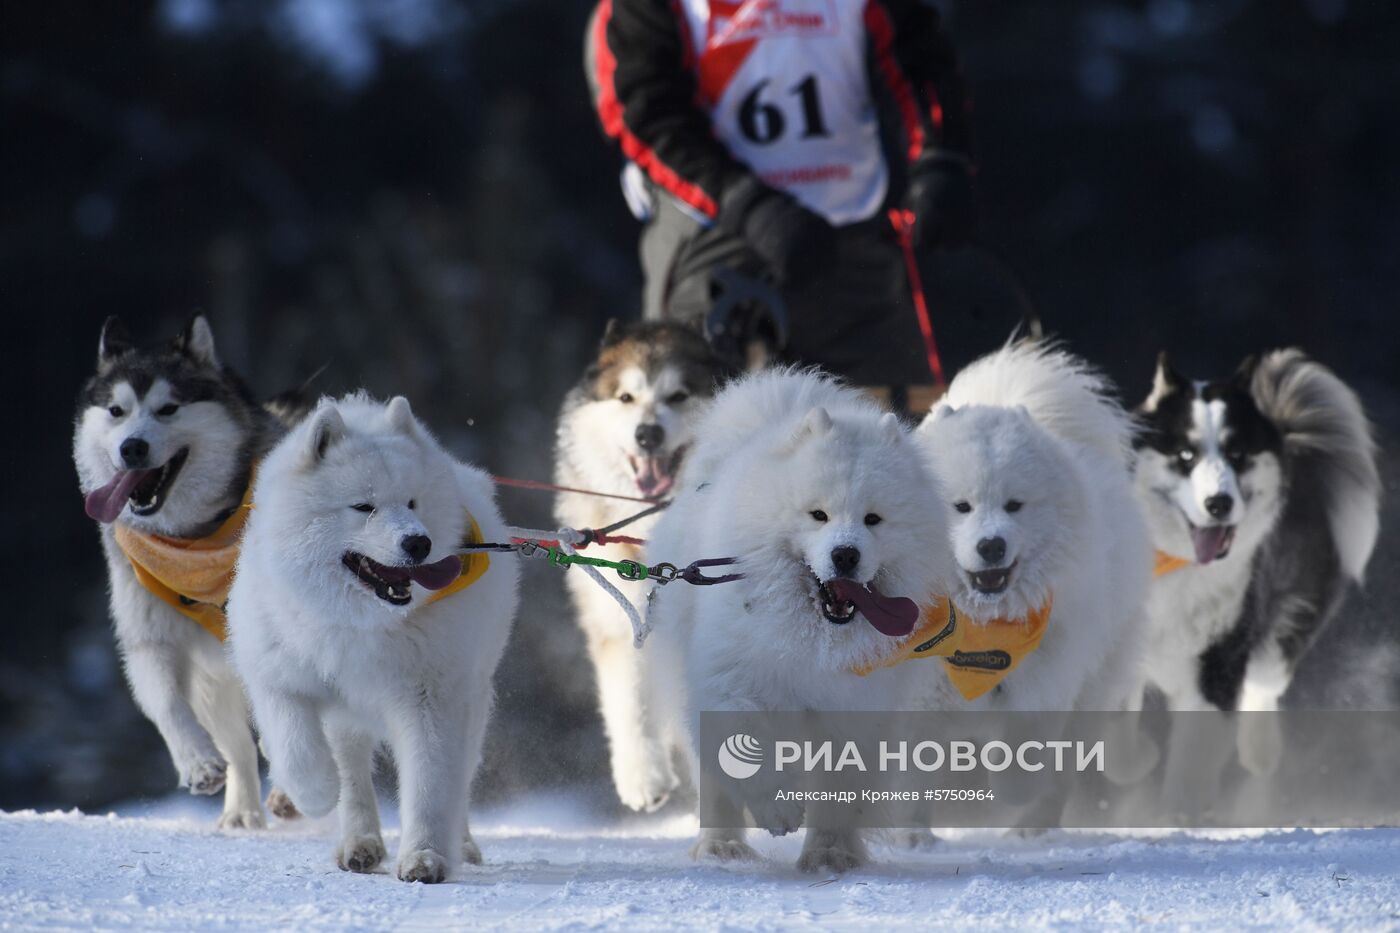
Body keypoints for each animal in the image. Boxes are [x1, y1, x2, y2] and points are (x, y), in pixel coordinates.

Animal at [73, 316, 289, 823]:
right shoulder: (149, 637)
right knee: (237, 746)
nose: (132, 448)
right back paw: (242, 810)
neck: (192, 537)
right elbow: (165, 701)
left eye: (168, 408)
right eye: (116, 410)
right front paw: (197, 762)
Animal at [228, 389, 520, 879]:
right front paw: (317, 794)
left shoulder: (431, 699)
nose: (418, 542)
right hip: (346, 720)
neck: (358, 623)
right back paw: (359, 843)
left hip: (472, 701)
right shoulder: (277, 675)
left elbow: (430, 784)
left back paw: (459, 845)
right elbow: (295, 747)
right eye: (364, 507)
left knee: (459, 782)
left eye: (413, 503)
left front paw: (425, 856)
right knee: (354, 779)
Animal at [551, 318, 722, 806]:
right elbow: (629, 697)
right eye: (625, 397)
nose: (648, 434)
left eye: (679, 395)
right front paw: (643, 775)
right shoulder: (617, 615)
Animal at [644, 369, 952, 874]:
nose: (845, 554)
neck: (815, 642)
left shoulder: (854, 712)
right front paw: (779, 811)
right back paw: (722, 848)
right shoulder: (731, 679)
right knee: (714, 785)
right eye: (818, 515)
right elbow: (746, 747)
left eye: (873, 519)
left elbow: (839, 793)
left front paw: (829, 855)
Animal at [1136, 344, 1377, 773]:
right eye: (1185, 454)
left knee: (1264, 684)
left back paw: (1260, 751)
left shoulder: (1220, 662)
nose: (1219, 504)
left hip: (1284, 625)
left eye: (1237, 454)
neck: (1177, 567)